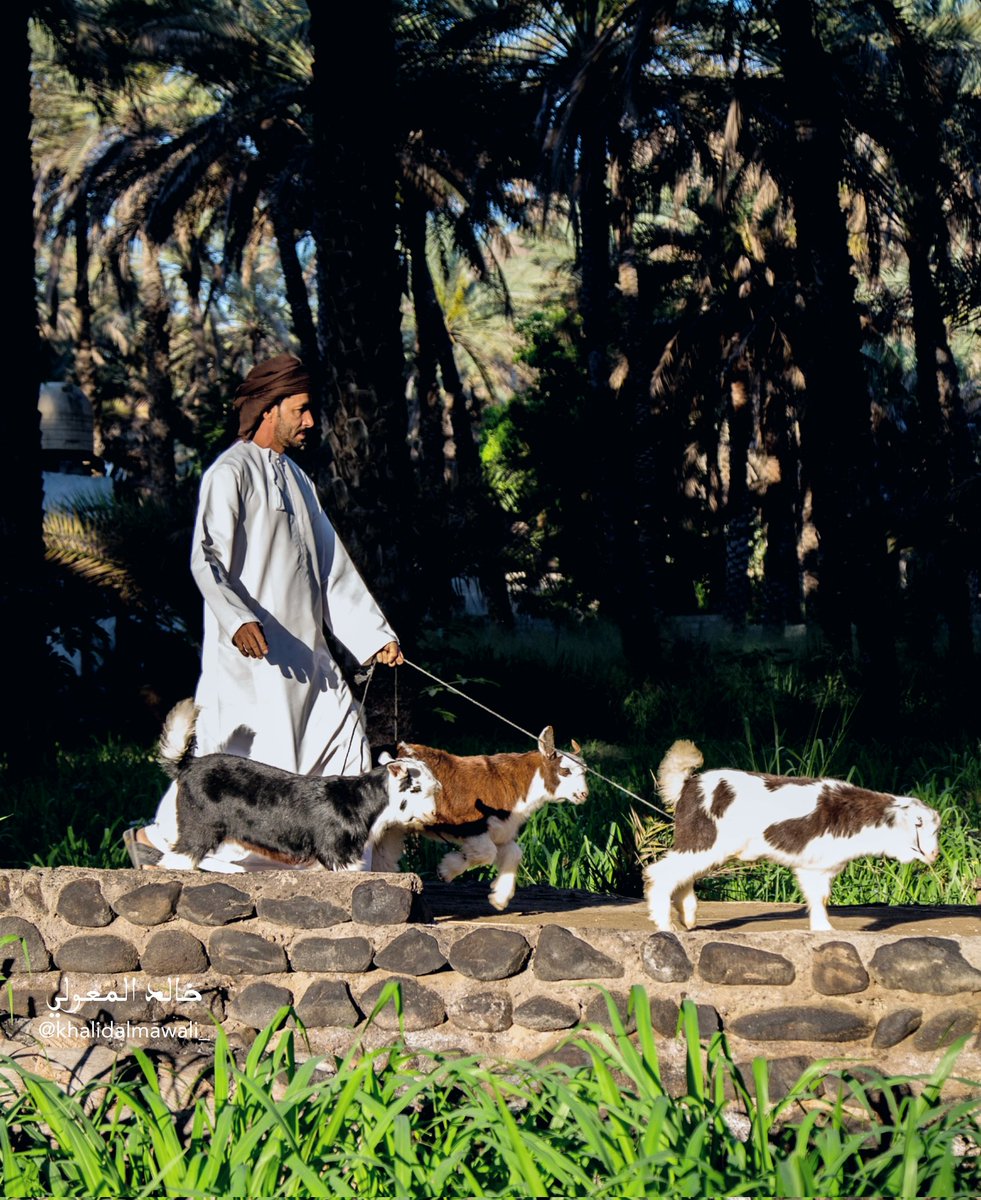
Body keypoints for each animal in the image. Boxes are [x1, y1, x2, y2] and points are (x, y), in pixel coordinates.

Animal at [155, 696, 438, 873]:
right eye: (419, 789)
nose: (435, 813)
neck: (362, 801)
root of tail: (187, 765)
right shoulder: (338, 854)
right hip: (200, 827)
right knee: (178, 856)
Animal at [371, 729, 587, 907]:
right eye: (565, 770)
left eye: (584, 770)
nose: (584, 794)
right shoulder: (469, 825)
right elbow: (487, 853)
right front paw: (447, 870)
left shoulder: (500, 830)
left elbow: (514, 853)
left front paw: (499, 897)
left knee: (384, 857)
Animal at [642, 734, 940, 931]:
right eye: (920, 826)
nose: (936, 854)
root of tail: (689, 784)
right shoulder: (815, 866)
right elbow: (819, 898)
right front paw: (826, 931)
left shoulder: (816, 866)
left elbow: (818, 899)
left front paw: (821, 930)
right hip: (705, 841)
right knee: (661, 873)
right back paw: (666, 926)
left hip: (701, 847)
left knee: (681, 875)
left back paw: (688, 917)